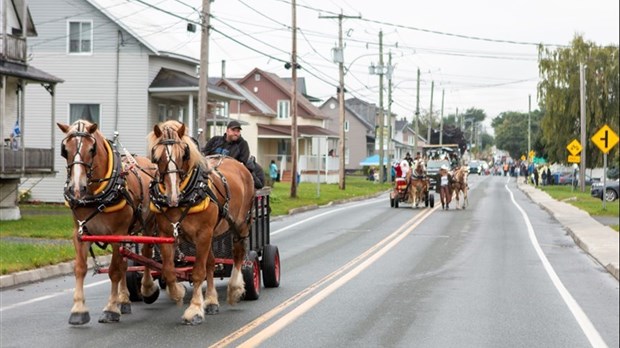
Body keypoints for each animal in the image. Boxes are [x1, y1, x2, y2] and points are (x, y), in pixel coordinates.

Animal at [57, 120, 157, 326]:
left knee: (146, 254)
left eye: (92, 149)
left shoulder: (117, 234)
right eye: (65, 150)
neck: (96, 195)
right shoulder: (80, 233)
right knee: (127, 263)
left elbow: (114, 271)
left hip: (148, 226)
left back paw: (147, 288)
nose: (77, 188)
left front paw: (111, 308)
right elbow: (80, 269)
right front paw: (78, 310)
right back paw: (125, 300)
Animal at [147, 120, 256, 326]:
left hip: (239, 225)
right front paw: (178, 293)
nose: (172, 196)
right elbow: (169, 270)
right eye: (156, 157)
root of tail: (235, 163)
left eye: (184, 154)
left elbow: (198, 272)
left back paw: (235, 289)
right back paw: (212, 301)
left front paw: (194, 310)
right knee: (211, 263)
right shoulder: (167, 234)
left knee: (238, 255)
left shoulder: (203, 234)